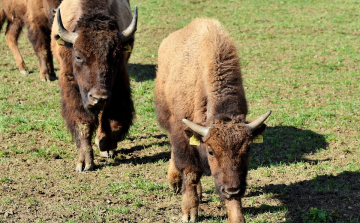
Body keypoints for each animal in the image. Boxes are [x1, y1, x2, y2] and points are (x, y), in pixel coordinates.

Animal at [49, 0, 136, 172]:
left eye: (116, 56)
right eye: (78, 56)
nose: (99, 98)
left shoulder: (119, 83)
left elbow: (115, 122)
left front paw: (105, 146)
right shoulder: (72, 87)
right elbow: (82, 123)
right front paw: (84, 163)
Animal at [155, 18, 270, 222]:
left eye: (248, 149)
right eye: (211, 151)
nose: (232, 190)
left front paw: (237, 216)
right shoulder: (181, 134)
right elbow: (190, 172)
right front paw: (189, 213)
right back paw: (175, 182)